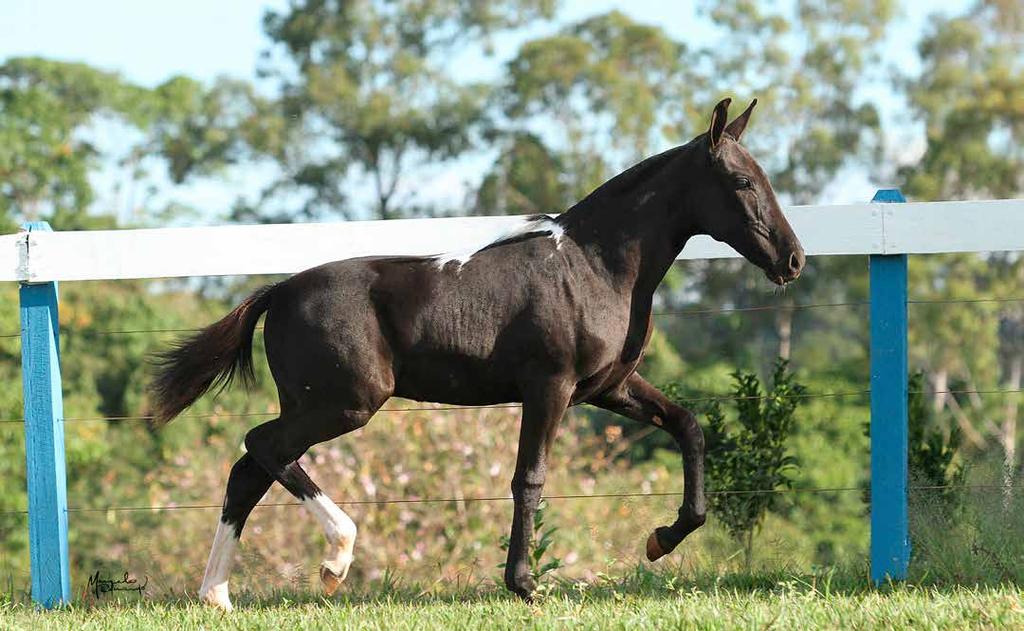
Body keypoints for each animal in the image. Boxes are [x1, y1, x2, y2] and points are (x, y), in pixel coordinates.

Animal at [151, 99, 802, 610]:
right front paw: (524, 584)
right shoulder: (550, 387)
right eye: (743, 183)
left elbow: (689, 427)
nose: (792, 259)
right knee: (260, 448)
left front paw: (661, 539)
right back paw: (335, 559)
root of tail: (278, 292)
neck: (595, 266)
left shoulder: (609, 388)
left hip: (317, 406)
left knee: (249, 471)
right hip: (343, 404)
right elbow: (529, 479)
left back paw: (218, 595)